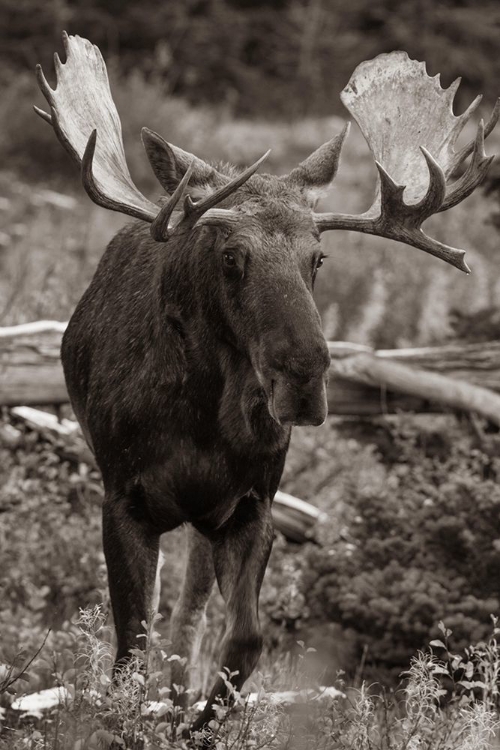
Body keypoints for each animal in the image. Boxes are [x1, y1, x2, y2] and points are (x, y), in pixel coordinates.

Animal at [35, 35, 496, 736]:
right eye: (231, 255)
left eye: (318, 257)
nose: (304, 377)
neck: (200, 419)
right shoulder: (123, 498)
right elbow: (129, 647)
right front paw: (131, 718)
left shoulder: (252, 505)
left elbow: (245, 639)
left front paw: (198, 721)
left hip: (206, 520)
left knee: (190, 616)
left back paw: (178, 697)